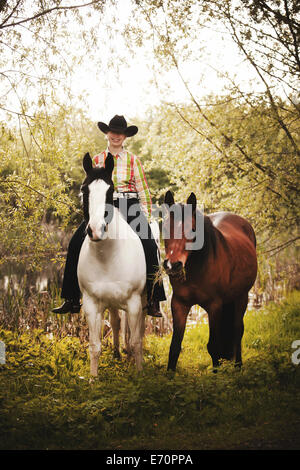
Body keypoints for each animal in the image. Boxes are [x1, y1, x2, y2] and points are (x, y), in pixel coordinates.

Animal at [77, 152, 146, 376]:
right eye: (84, 190)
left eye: (110, 190)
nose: (96, 230)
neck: (107, 257)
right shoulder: (91, 305)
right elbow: (95, 346)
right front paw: (93, 379)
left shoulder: (134, 303)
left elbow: (136, 341)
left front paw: (140, 374)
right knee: (116, 322)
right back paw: (116, 353)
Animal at [163, 190, 256, 370]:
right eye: (165, 228)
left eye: (193, 230)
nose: (173, 265)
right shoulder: (179, 304)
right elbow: (174, 347)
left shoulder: (214, 306)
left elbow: (213, 347)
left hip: (241, 297)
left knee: (237, 330)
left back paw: (238, 366)